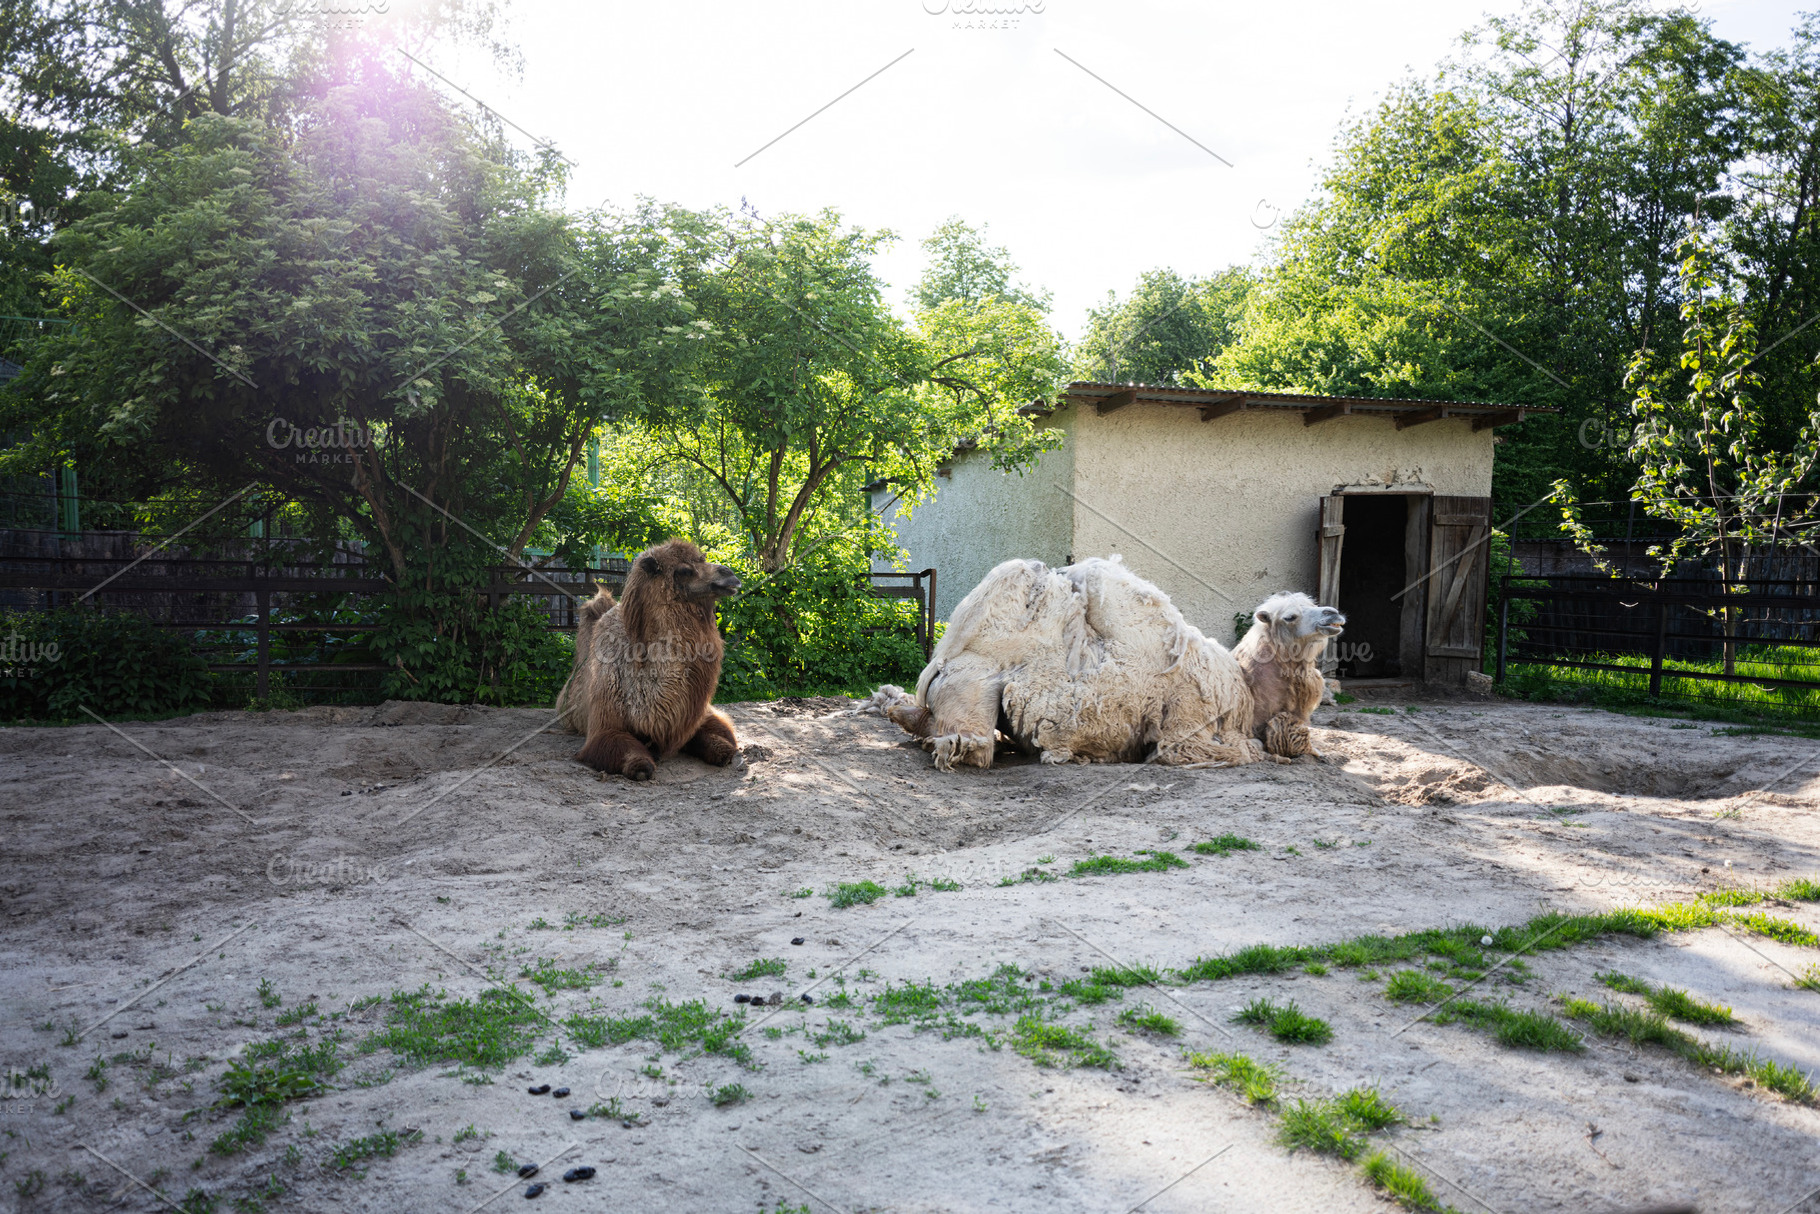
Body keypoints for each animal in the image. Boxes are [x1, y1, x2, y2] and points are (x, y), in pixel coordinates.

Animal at [555, 539, 742, 780]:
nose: (730, 574)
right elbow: (630, 756)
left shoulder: (699, 716)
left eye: (702, 558)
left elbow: (723, 743)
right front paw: (641, 764)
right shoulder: (604, 724)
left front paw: (722, 751)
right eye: (684, 570)